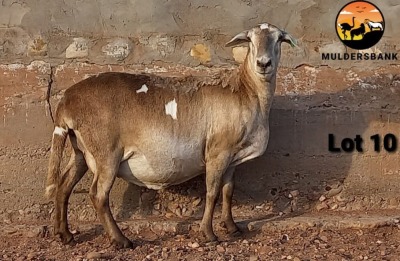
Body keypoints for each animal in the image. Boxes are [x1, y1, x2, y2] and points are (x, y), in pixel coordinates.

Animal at [46, 22, 296, 248]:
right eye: (250, 40)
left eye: (278, 39)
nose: (263, 63)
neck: (245, 90)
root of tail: (66, 102)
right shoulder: (218, 151)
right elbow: (212, 192)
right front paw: (208, 234)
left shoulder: (233, 156)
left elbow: (228, 191)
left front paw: (232, 227)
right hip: (105, 150)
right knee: (98, 195)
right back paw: (121, 240)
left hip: (81, 148)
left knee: (63, 185)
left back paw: (65, 235)